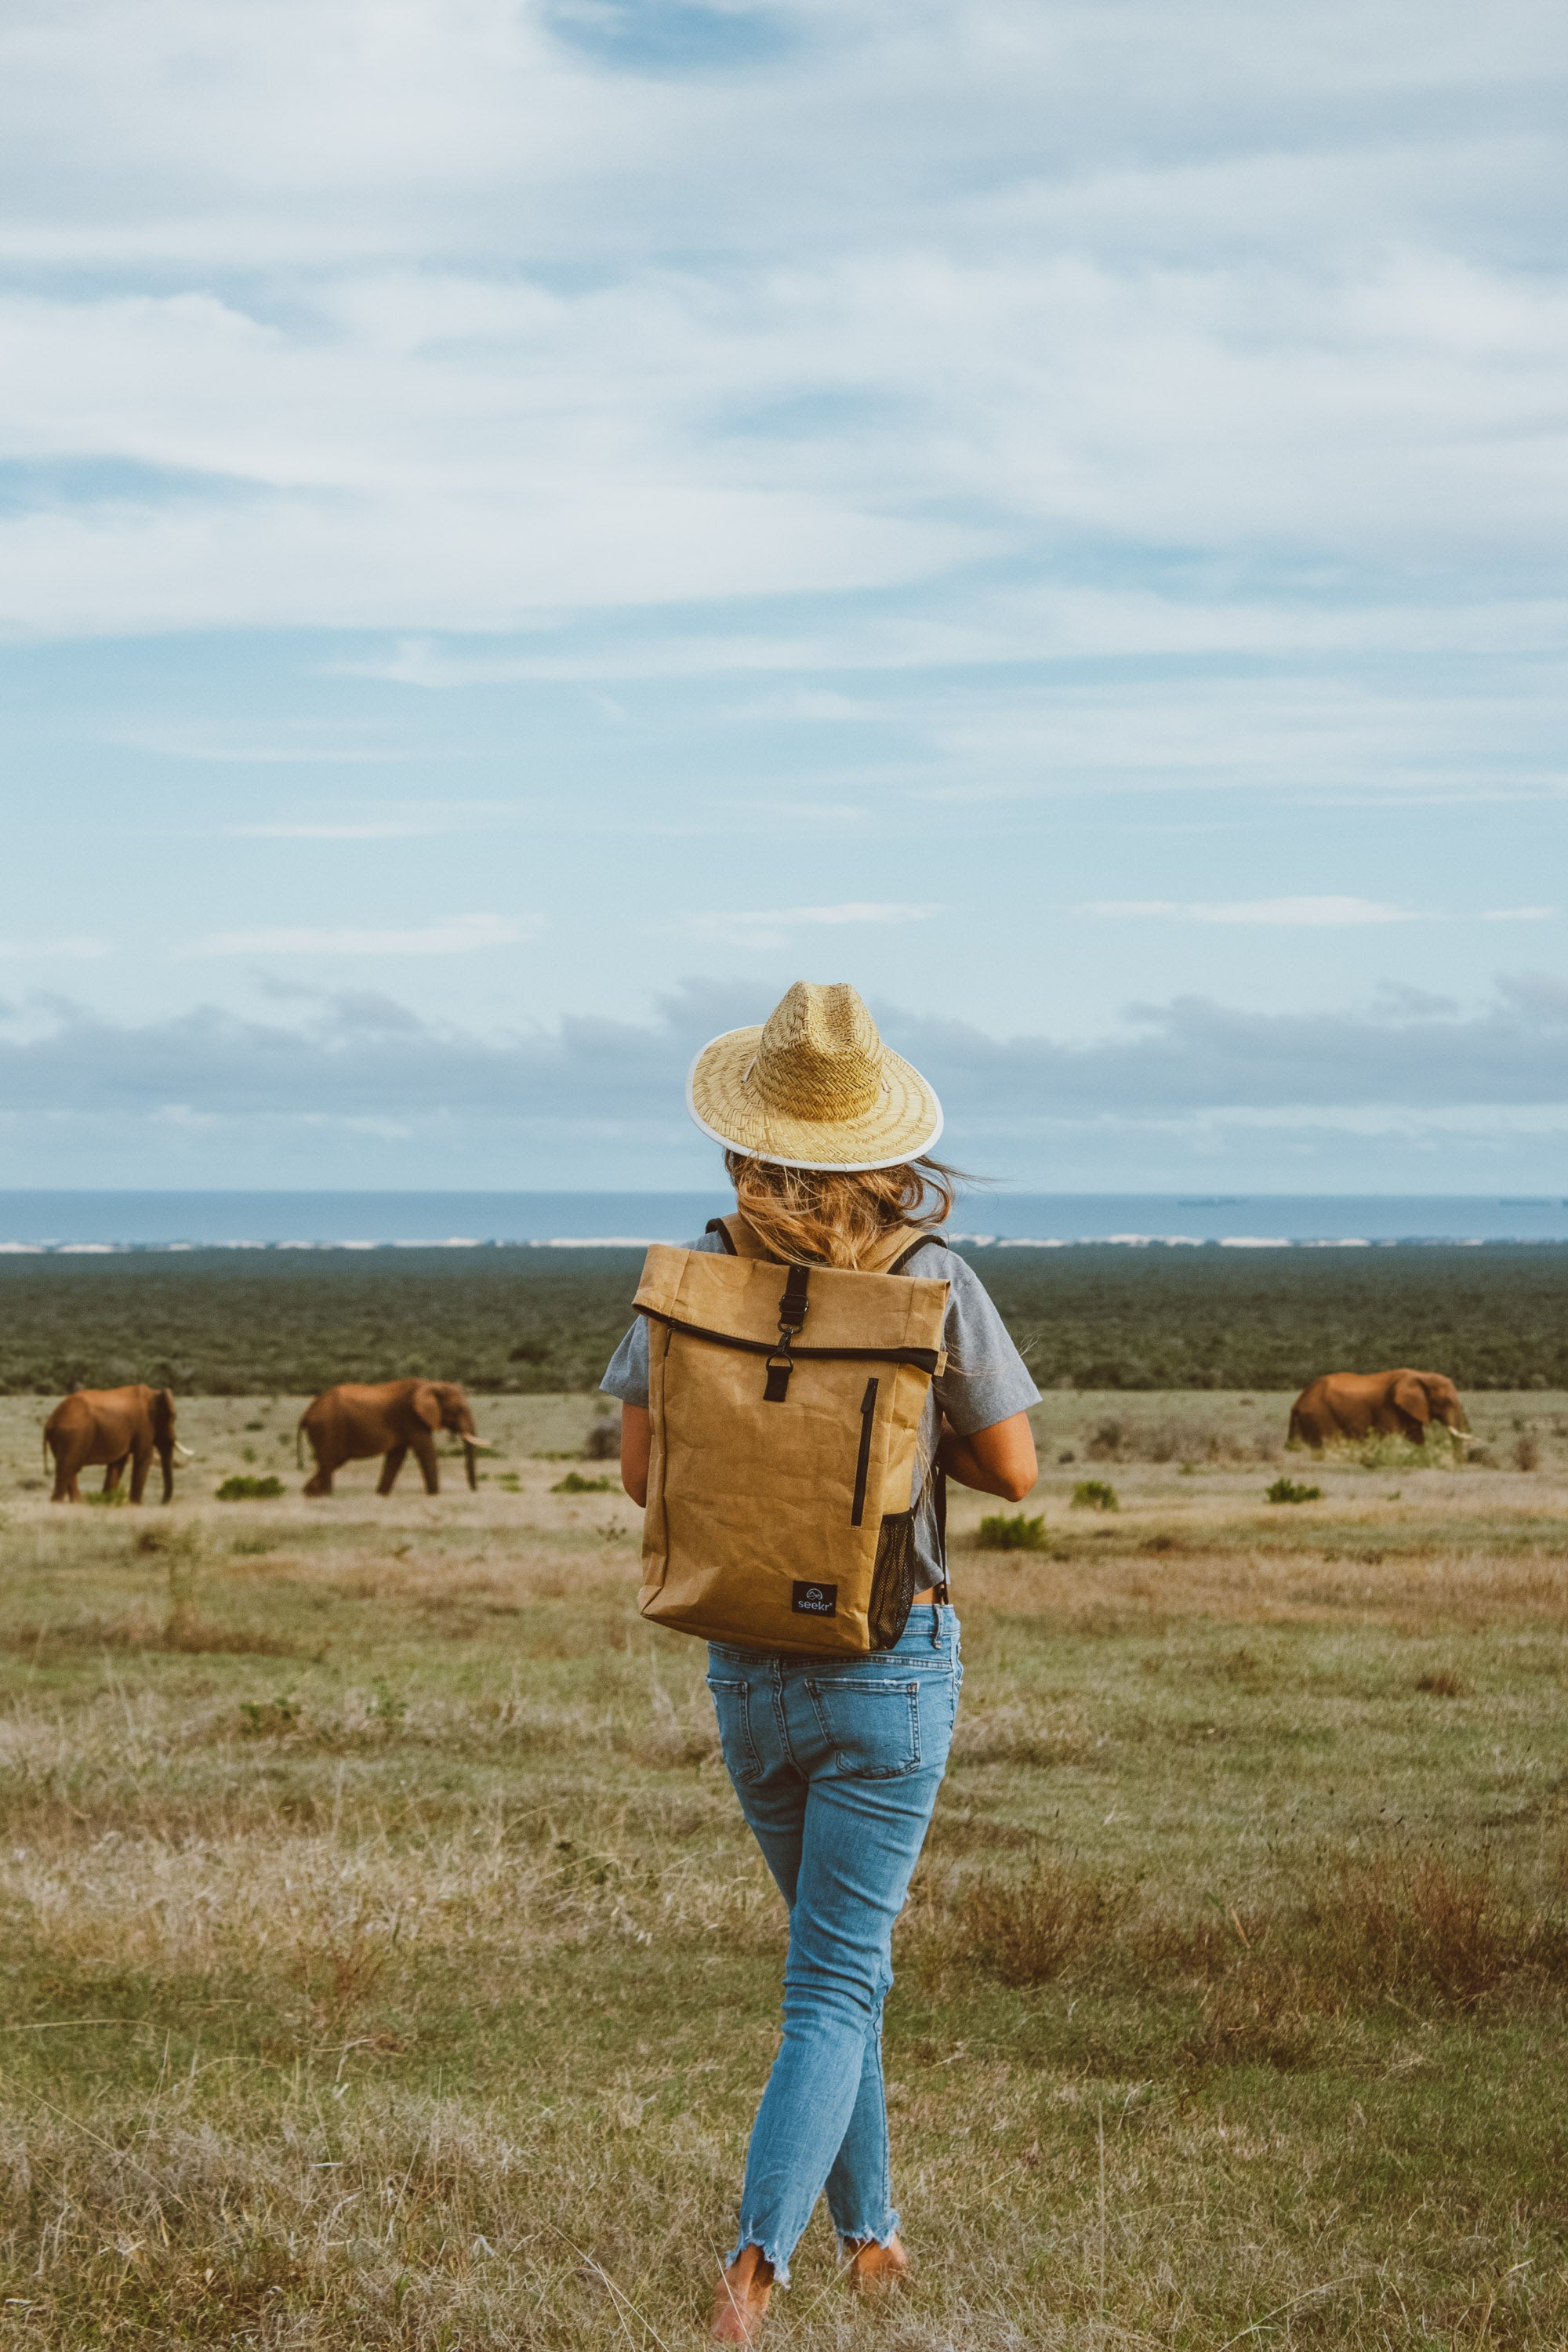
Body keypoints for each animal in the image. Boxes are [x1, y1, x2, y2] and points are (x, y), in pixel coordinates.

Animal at [43, 1374, 191, 1505]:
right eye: (172, 1418)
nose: (162, 1503)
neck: (155, 1394)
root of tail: (51, 1421)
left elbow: (118, 1464)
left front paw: (107, 1501)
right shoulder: (144, 1425)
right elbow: (143, 1457)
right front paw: (136, 1505)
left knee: (70, 1468)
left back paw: (77, 1503)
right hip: (73, 1435)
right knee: (68, 1467)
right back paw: (59, 1502)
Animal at [293, 1374, 491, 1496]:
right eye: (459, 1409)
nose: (474, 1490)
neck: (432, 1384)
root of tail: (307, 1413)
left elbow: (397, 1456)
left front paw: (381, 1495)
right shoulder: (411, 1417)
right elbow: (424, 1449)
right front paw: (434, 1495)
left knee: (331, 1461)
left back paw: (309, 1494)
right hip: (327, 1427)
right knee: (329, 1460)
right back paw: (324, 1496)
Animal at [1288, 1364, 1476, 1449]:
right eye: (1445, 1402)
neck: (1422, 1375)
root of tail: (1298, 1402)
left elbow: (1417, 1439)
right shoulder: (1389, 1408)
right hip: (1319, 1414)